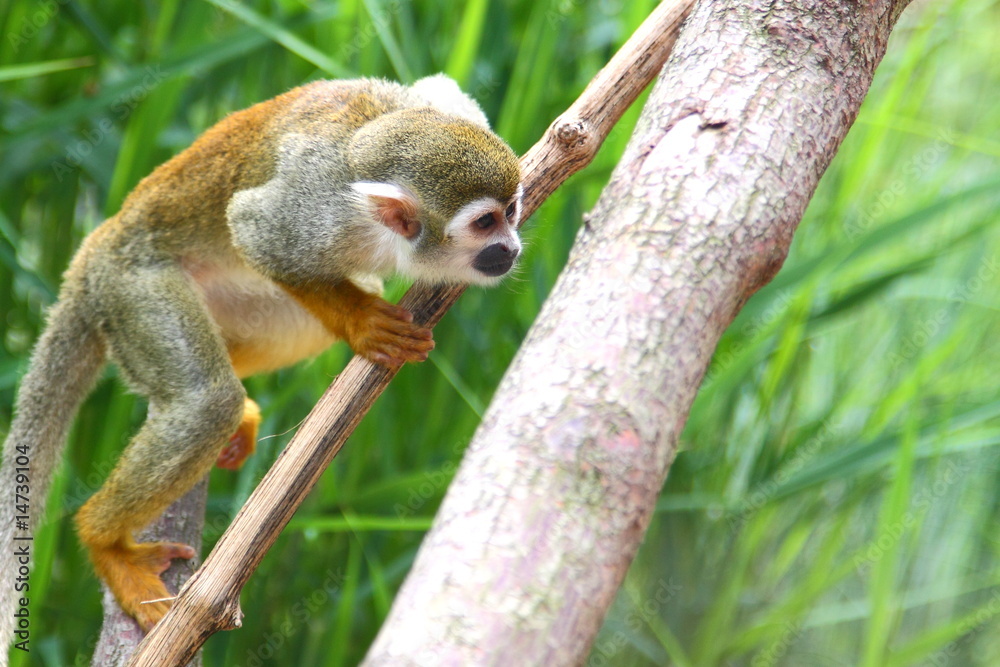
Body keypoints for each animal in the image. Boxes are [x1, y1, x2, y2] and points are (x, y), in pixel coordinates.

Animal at [0, 73, 523, 641]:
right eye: (485, 223)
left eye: (512, 211)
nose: (512, 248)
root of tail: (96, 247)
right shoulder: (320, 216)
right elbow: (253, 229)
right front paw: (362, 323)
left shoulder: (435, 107)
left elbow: (442, 90)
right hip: (129, 285)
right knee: (207, 401)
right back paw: (105, 541)